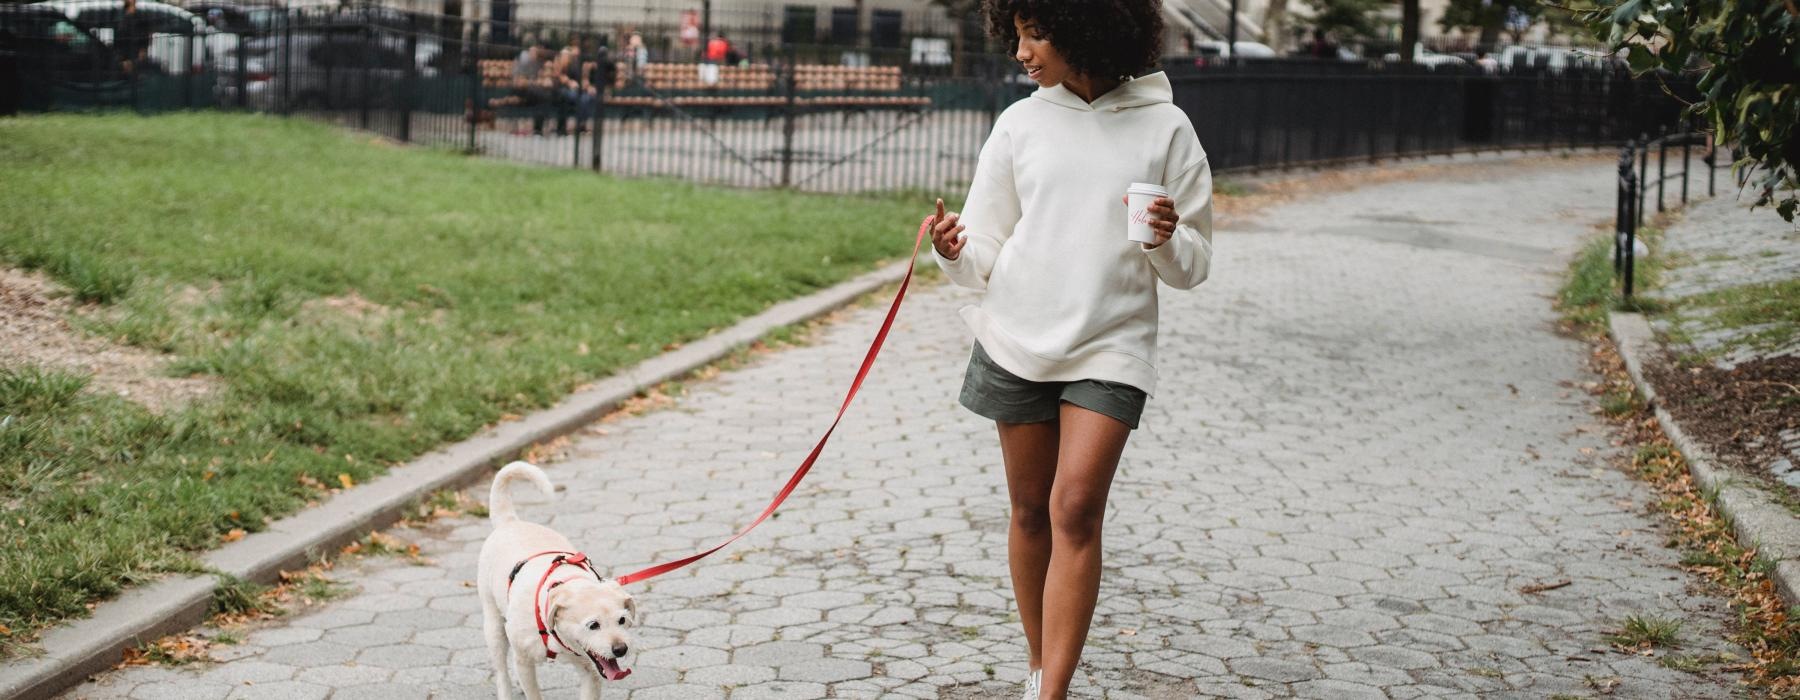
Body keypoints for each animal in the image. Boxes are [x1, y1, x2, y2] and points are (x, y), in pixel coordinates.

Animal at [478, 458, 640, 698]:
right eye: (593, 625)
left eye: (622, 620)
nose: (620, 649)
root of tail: (509, 521)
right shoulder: (525, 660)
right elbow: (532, 691)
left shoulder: (590, 670)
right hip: (493, 625)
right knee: (501, 671)